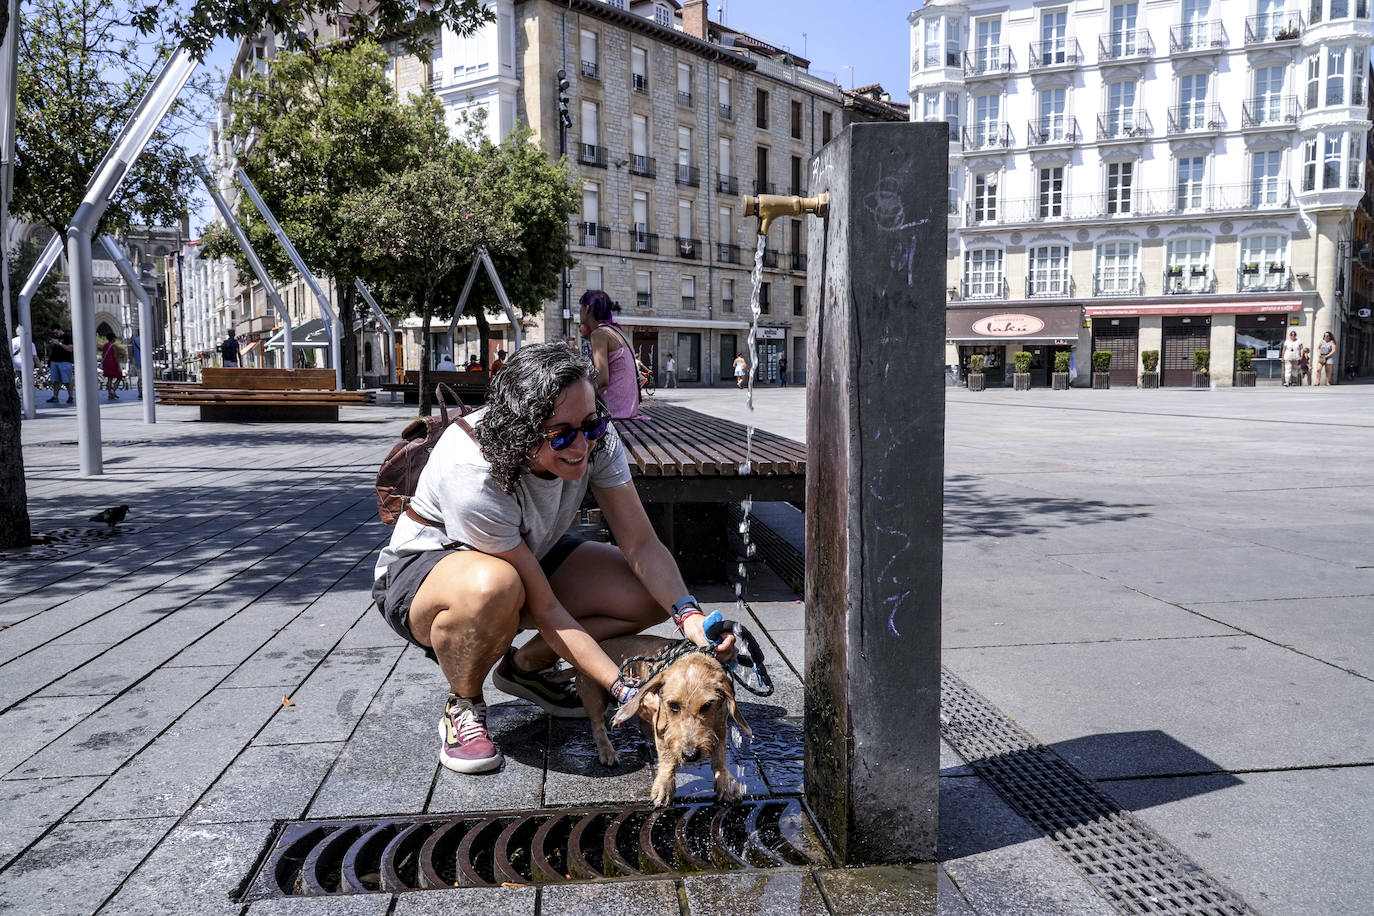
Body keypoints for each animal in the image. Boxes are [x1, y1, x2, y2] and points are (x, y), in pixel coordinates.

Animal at [577, 634, 758, 807]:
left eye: (707, 705)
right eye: (673, 705)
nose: (690, 755)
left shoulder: (720, 726)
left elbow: (720, 756)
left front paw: (726, 783)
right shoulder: (663, 726)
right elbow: (667, 758)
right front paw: (664, 787)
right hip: (593, 698)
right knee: (598, 726)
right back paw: (607, 751)